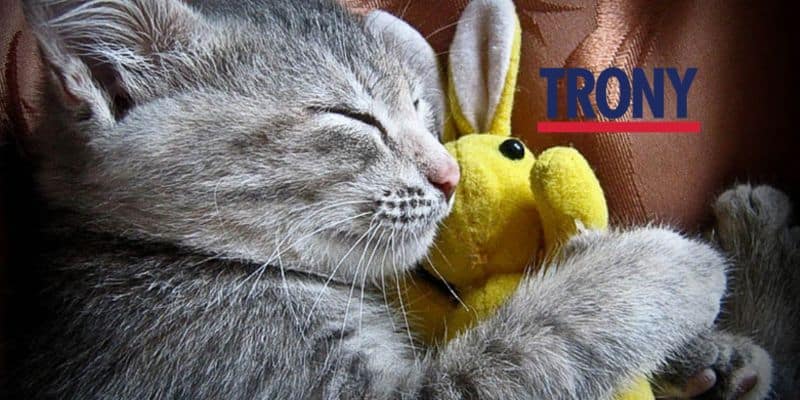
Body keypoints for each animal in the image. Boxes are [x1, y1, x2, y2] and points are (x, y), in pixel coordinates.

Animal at [4, 0, 793, 398]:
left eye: (420, 107)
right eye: (351, 118)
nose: (448, 175)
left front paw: (711, 350)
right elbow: (534, 342)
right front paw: (669, 265)